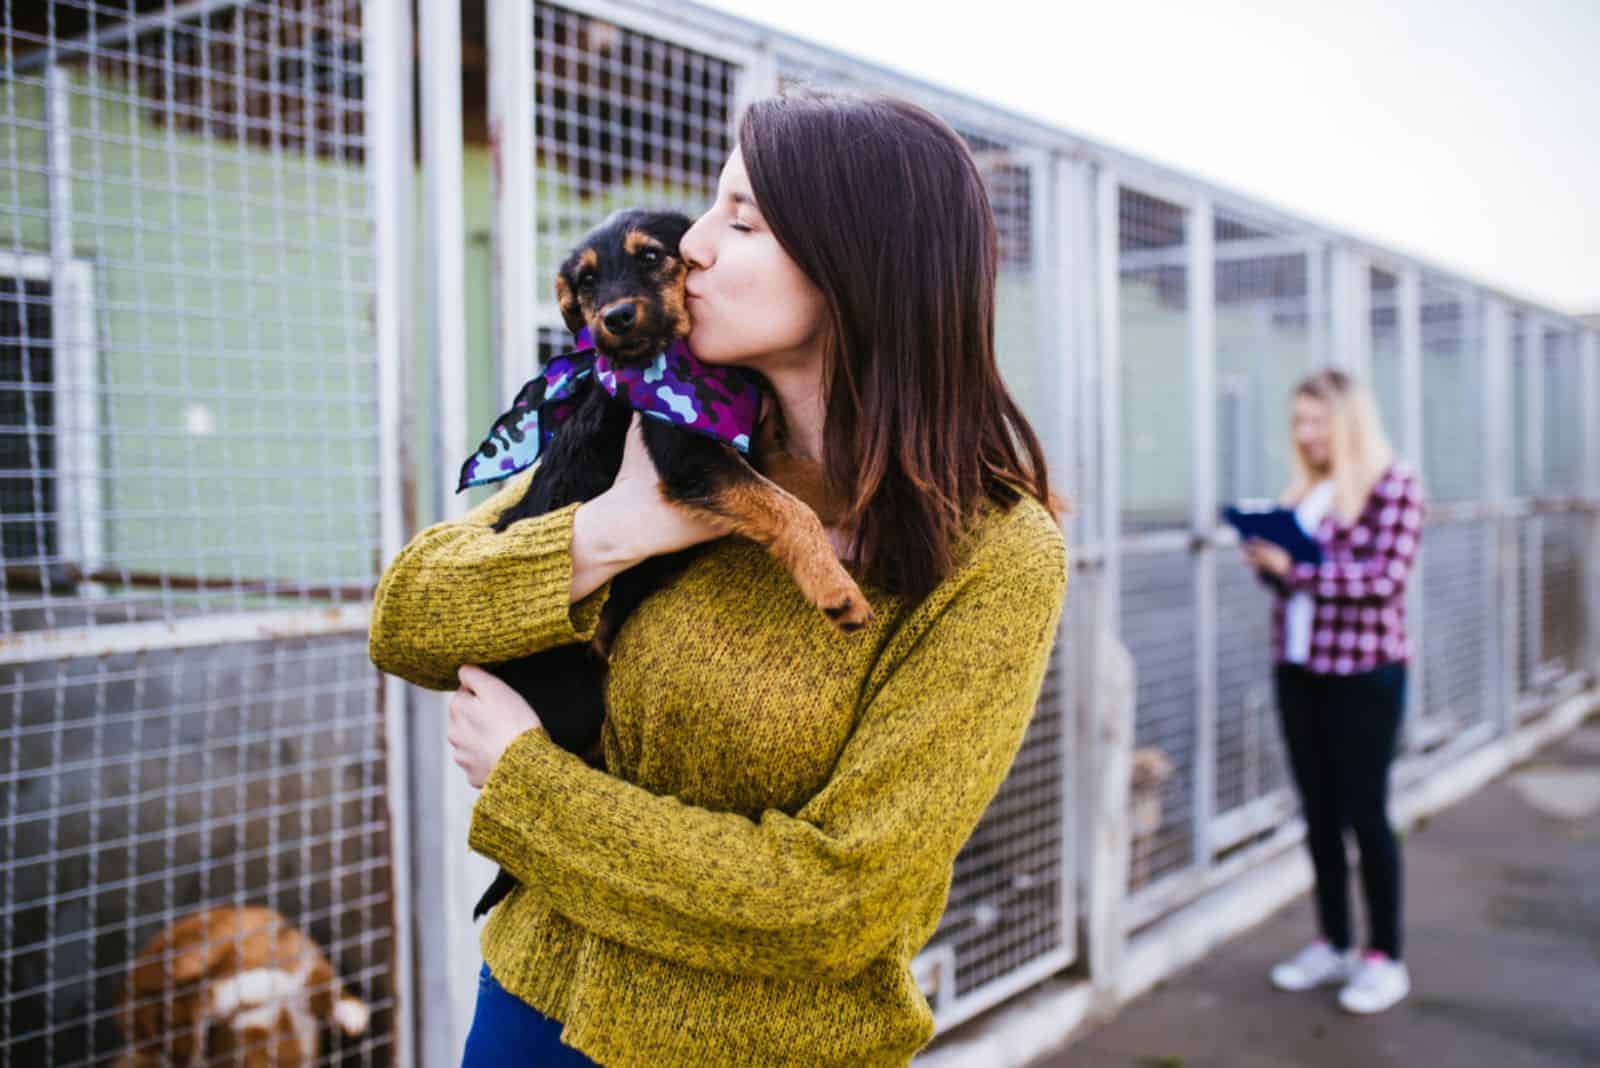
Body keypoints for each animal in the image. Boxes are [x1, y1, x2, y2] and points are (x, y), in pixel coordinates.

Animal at [470, 206, 870, 920]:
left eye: (652, 257)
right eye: (587, 282)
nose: (615, 318)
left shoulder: (749, 443)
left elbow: (803, 478)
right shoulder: (691, 456)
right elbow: (789, 506)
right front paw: (837, 590)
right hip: (577, 694)